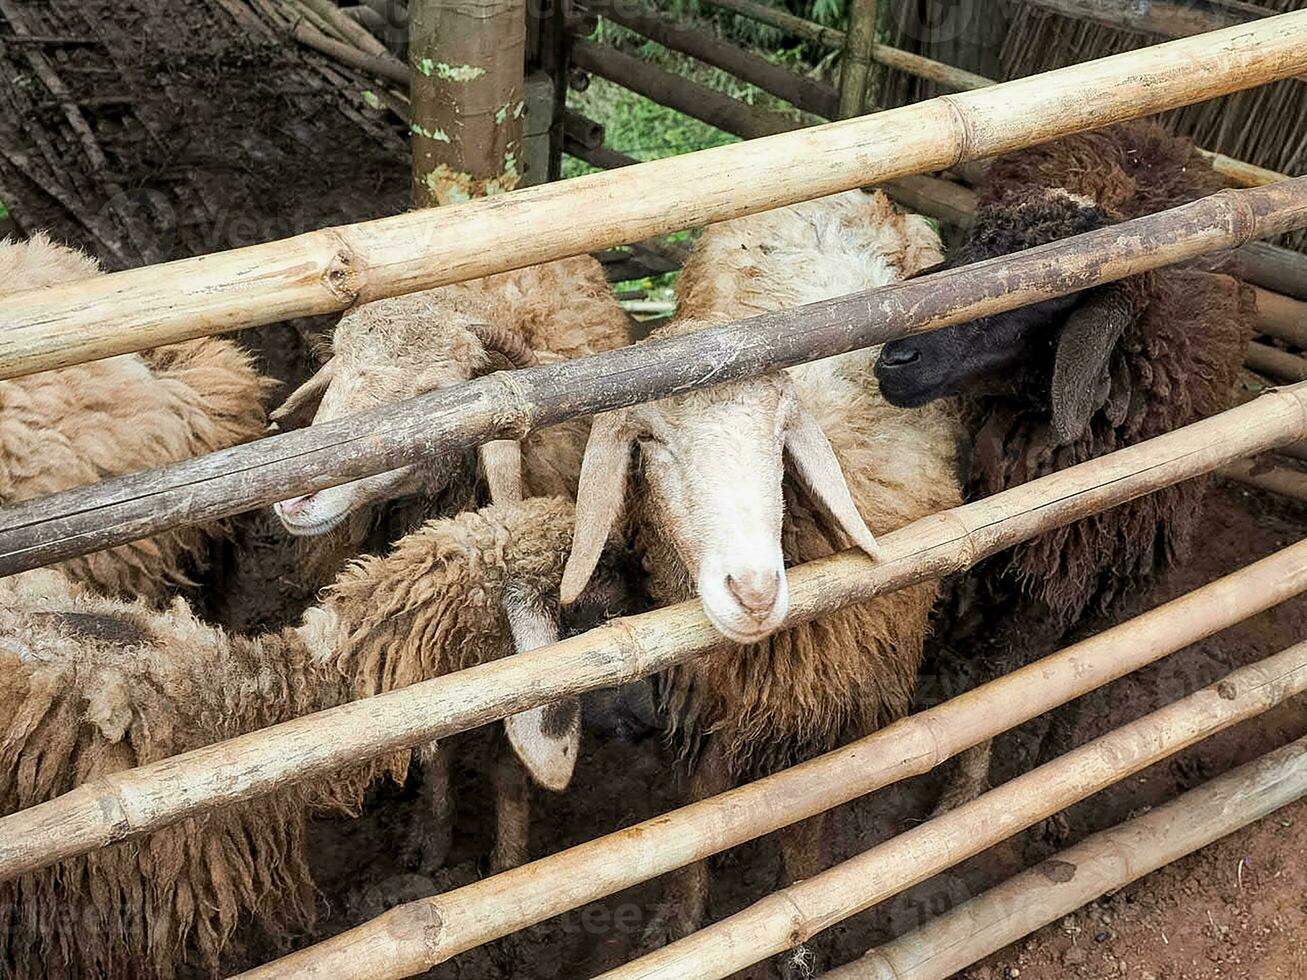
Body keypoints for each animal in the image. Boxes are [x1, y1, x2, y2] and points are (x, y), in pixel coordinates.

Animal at [265, 254, 632, 872]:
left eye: (434, 396)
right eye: (339, 368)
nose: (295, 497)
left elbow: (510, 758)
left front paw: (508, 861)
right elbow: (430, 733)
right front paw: (431, 843)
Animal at [867, 120, 1254, 820]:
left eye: (1039, 296)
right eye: (973, 246)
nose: (894, 358)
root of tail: (1153, 129)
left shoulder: (1103, 557)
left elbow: (1063, 668)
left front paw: (1046, 777)